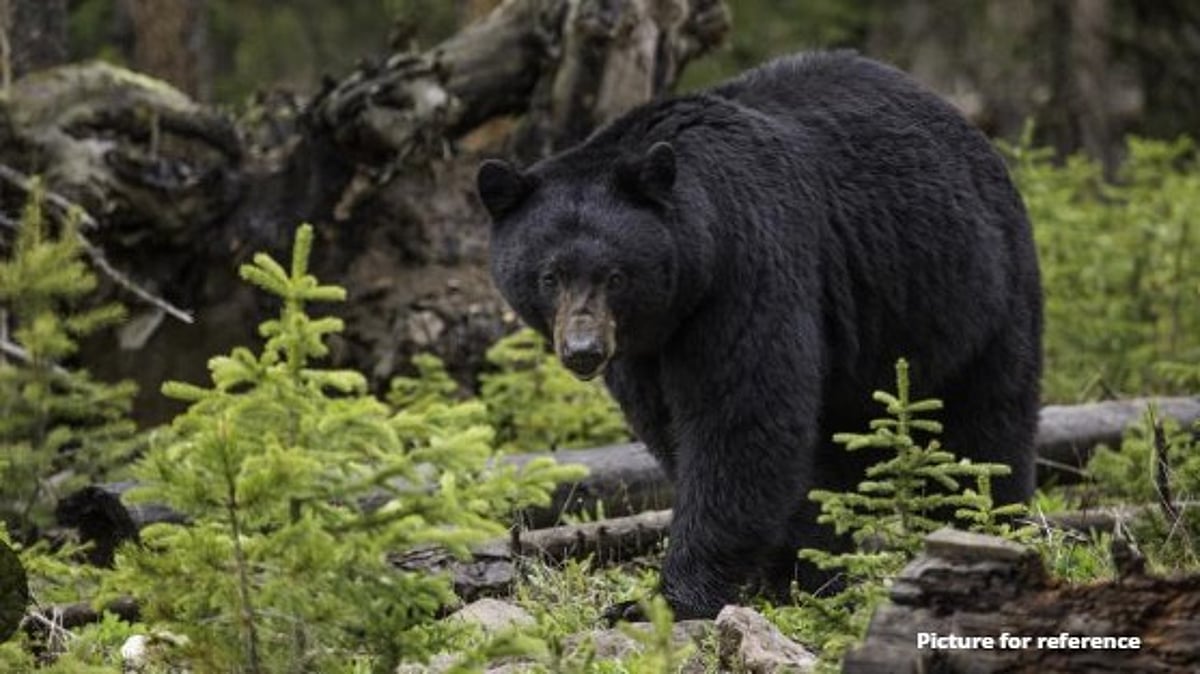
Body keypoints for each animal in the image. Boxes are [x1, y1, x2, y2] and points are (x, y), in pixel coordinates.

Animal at [476, 50, 1042, 620]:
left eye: (615, 275)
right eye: (549, 276)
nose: (584, 351)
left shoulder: (747, 269)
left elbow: (741, 420)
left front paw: (667, 598)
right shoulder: (645, 349)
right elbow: (673, 426)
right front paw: (788, 572)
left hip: (973, 292)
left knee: (985, 427)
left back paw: (985, 527)